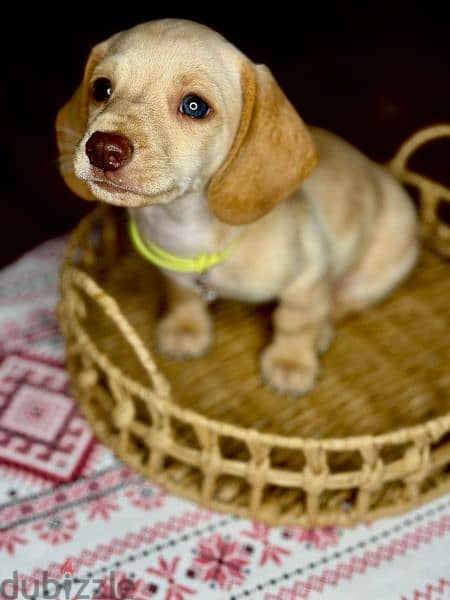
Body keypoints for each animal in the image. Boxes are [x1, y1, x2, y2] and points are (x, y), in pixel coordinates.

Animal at [56, 18, 418, 396]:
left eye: (194, 106)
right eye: (101, 88)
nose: (103, 149)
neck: (184, 226)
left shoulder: (307, 277)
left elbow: (295, 322)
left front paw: (291, 362)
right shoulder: (174, 273)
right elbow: (183, 295)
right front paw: (186, 328)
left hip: (380, 270)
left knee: (340, 304)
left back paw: (321, 333)